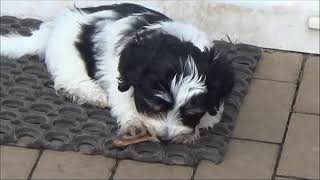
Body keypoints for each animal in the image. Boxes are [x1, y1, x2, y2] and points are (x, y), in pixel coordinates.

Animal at [0, 2, 235, 143]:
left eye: (191, 112)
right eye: (152, 105)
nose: (165, 138)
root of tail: (52, 27)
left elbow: (212, 113)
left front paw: (191, 130)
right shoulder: (120, 77)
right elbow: (124, 98)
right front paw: (134, 123)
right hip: (67, 51)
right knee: (70, 78)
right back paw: (93, 94)